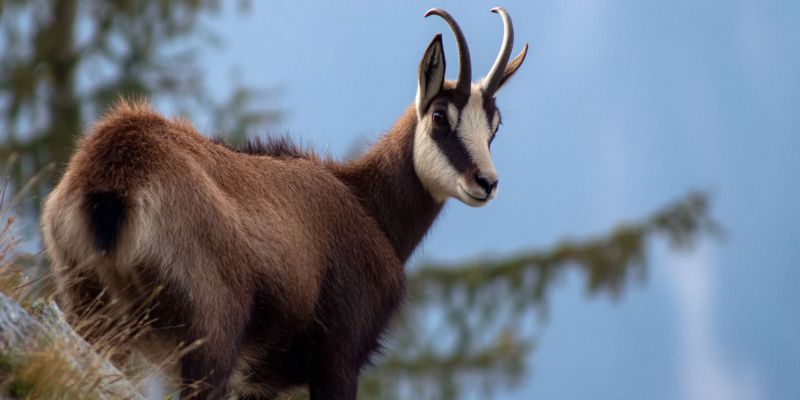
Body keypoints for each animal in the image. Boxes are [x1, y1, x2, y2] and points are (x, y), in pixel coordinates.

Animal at [41, 7, 527, 400]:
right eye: (441, 116)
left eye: (495, 124)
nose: (486, 183)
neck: (369, 206)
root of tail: (113, 177)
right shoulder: (338, 359)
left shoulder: (259, 385)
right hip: (209, 340)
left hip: (95, 315)